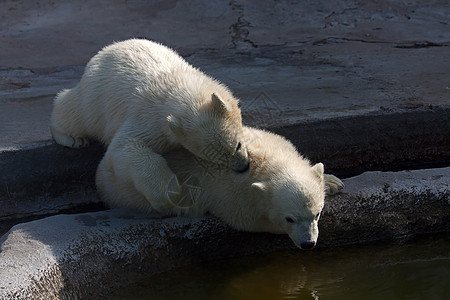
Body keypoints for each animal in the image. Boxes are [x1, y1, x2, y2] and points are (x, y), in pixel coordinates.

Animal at [52, 38, 251, 212]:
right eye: (215, 159)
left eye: (238, 145)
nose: (243, 166)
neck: (179, 86)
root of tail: (106, 50)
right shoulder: (150, 119)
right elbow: (124, 147)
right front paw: (168, 194)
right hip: (95, 96)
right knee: (75, 112)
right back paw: (71, 138)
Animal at [96, 125, 342, 250]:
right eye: (289, 218)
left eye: (317, 213)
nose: (308, 243)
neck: (263, 162)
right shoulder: (230, 196)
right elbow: (251, 221)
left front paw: (331, 181)